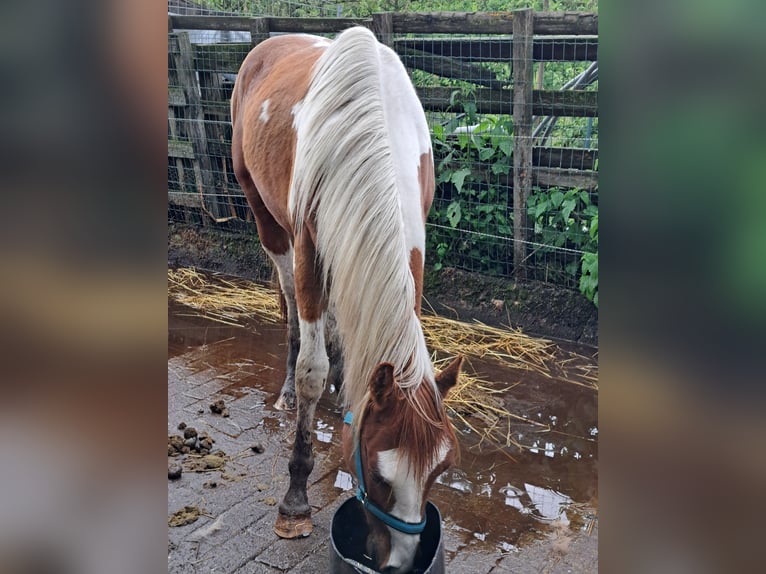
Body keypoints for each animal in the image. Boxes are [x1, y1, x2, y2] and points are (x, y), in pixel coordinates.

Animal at [231, 28, 464, 574]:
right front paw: (295, 498)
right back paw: (290, 388)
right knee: (292, 308)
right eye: (378, 476)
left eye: (439, 472)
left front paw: (346, 392)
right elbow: (313, 367)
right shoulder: (310, 250)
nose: (400, 563)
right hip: (266, 219)